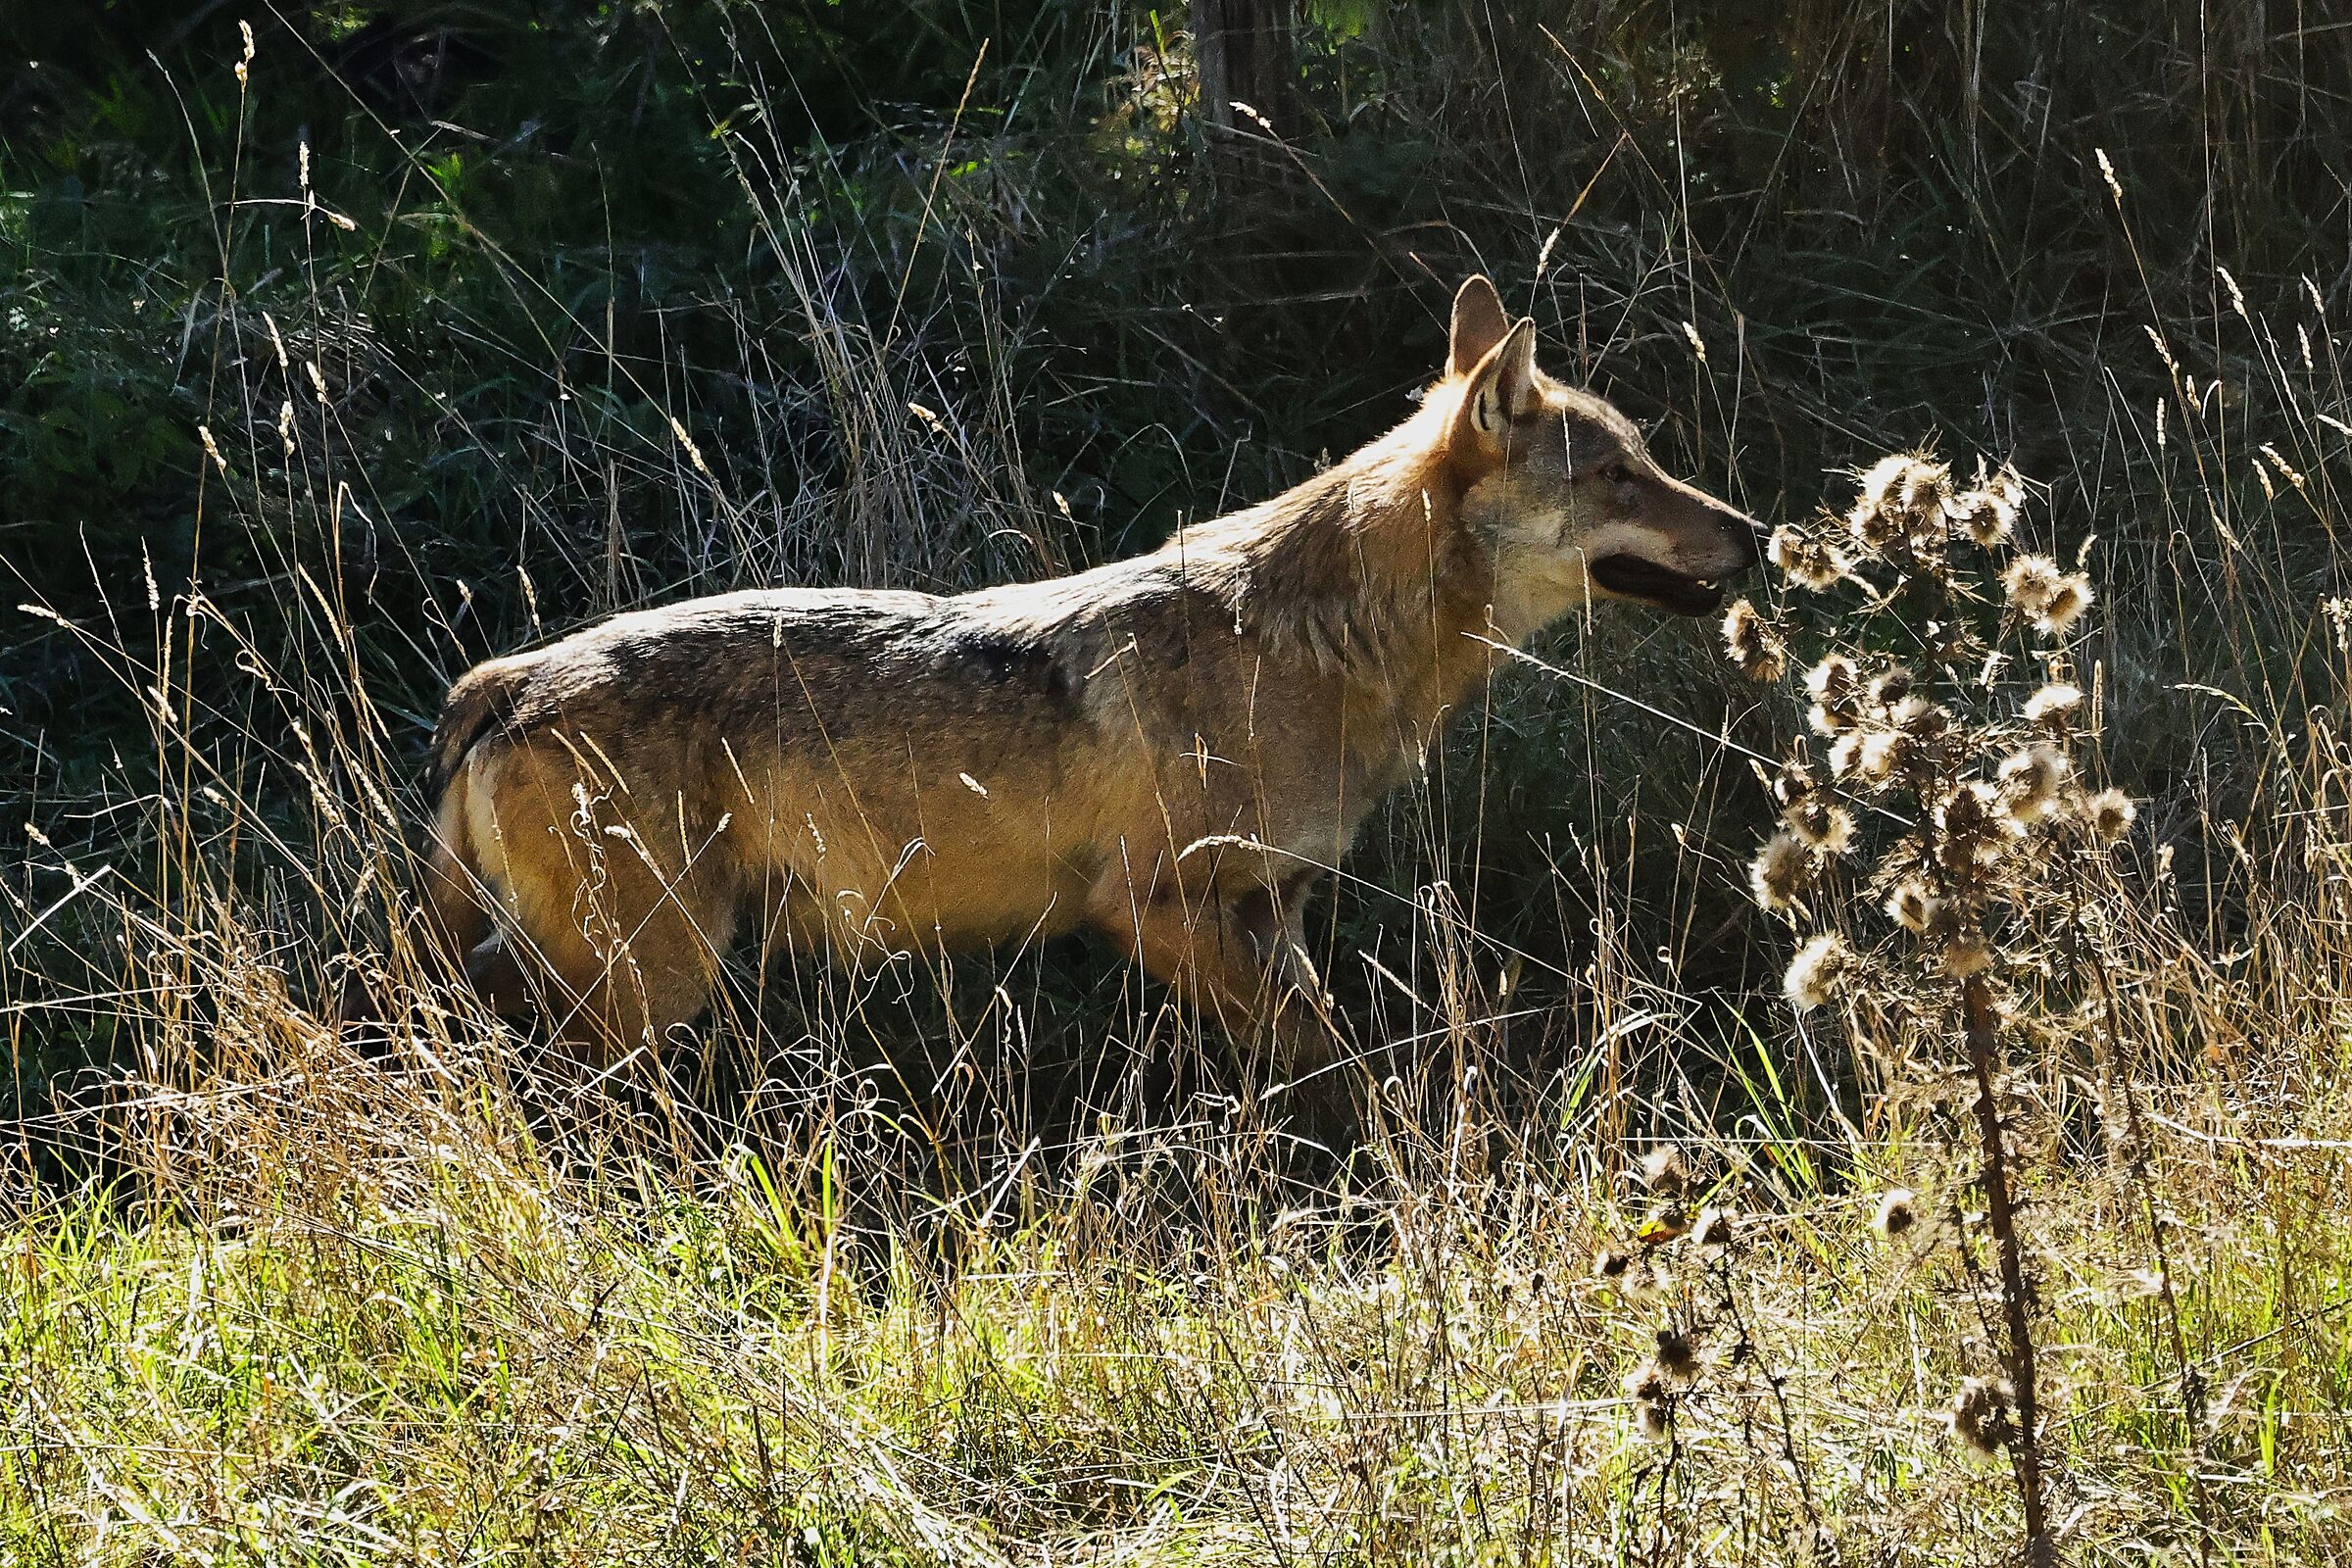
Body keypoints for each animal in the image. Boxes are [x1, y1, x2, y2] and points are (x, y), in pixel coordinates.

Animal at [414, 276, 1761, 1075]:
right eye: (1621, 476)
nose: (1755, 532)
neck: (1324, 648)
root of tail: (506, 680)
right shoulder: (1151, 905)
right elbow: (1325, 1072)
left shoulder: (1270, 910)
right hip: (660, 974)